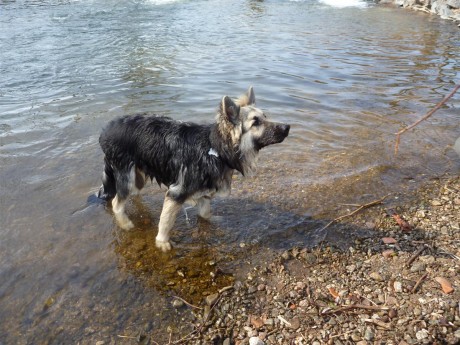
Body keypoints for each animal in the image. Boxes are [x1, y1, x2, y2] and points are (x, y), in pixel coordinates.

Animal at [98, 86, 290, 250]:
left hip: (138, 175)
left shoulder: (204, 193)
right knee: (116, 203)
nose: (287, 127)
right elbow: (166, 222)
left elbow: (205, 214)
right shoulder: (176, 193)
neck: (215, 149)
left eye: (265, 117)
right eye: (256, 122)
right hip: (126, 176)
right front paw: (162, 243)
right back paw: (126, 224)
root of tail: (105, 130)